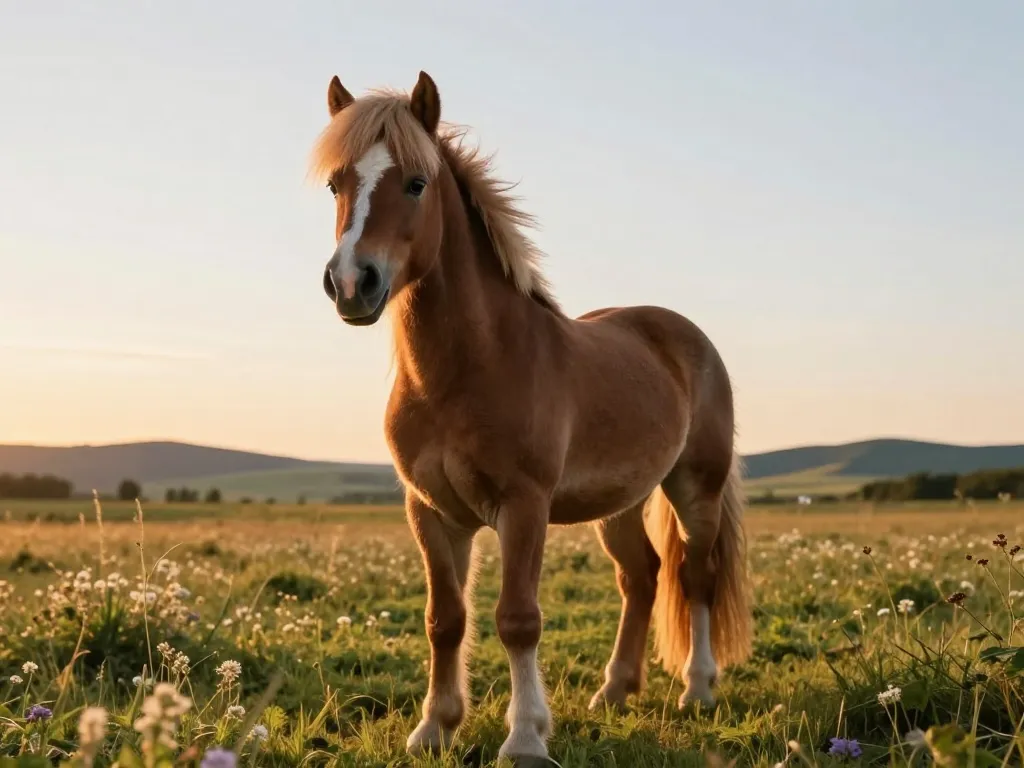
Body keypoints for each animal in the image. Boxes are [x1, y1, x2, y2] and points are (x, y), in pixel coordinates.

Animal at [308, 70, 753, 762]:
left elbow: (517, 620)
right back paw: (615, 691)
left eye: (416, 182)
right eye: (336, 184)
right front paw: (435, 727)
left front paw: (524, 738)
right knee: (642, 578)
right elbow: (445, 620)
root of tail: (685, 335)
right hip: (620, 505)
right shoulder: (431, 511)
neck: (466, 369)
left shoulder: (523, 506)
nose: (353, 283)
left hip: (694, 489)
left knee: (695, 574)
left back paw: (698, 690)